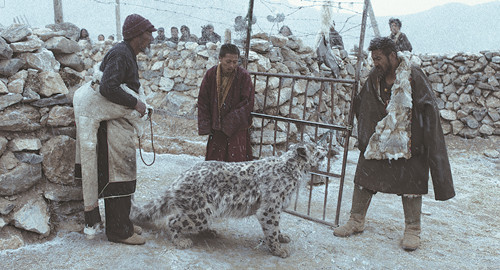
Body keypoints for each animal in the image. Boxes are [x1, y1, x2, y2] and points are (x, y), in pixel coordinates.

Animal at [132, 141, 328, 258]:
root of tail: (178, 180)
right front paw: (279, 249)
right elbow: (271, 228)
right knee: (173, 220)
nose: (326, 148)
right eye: (314, 146)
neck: (296, 172)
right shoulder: (270, 207)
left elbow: (277, 227)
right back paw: (181, 241)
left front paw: (282, 237)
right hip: (200, 213)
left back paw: (210, 232)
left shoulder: (277, 207)